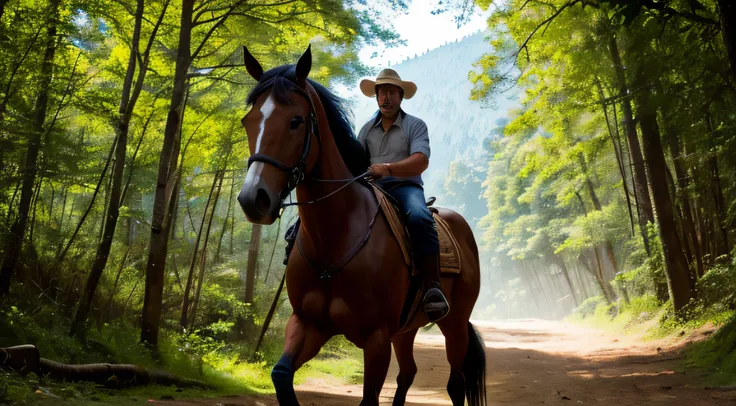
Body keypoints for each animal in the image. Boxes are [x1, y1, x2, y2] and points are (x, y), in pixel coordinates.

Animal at [239, 45, 486, 406]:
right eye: (248, 121)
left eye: (296, 121)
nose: (252, 199)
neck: (334, 238)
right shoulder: (308, 325)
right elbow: (281, 374)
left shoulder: (377, 337)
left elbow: (369, 399)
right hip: (406, 329)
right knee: (408, 372)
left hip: (454, 322)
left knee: (456, 383)